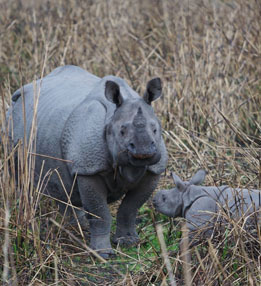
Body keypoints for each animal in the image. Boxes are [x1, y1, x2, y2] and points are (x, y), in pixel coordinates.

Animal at [7, 66, 169, 258]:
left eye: (155, 130)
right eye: (122, 132)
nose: (144, 152)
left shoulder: (153, 171)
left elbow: (130, 208)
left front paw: (128, 242)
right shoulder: (89, 169)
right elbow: (100, 213)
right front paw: (103, 254)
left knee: (62, 184)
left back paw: (75, 226)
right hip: (13, 122)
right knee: (20, 176)